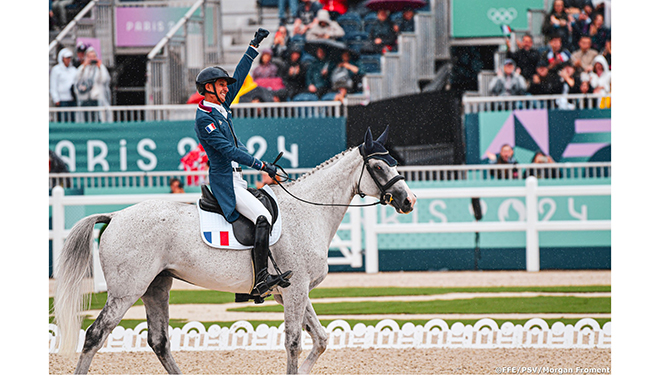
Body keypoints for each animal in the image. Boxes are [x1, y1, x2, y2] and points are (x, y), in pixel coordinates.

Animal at [58, 128, 418, 374]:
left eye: (393, 163)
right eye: (380, 168)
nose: (409, 201)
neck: (308, 210)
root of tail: (116, 215)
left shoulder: (292, 291)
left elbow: (320, 338)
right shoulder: (296, 290)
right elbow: (294, 341)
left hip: (156, 287)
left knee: (159, 341)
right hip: (126, 291)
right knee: (94, 335)